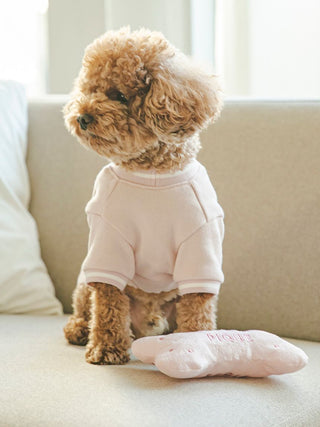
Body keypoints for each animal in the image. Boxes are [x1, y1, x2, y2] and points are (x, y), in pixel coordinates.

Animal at [62, 26, 224, 364]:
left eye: (120, 96)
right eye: (90, 89)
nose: (82, 117)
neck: (152, 173)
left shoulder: (200, 241)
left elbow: (198, 307)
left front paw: (196, 347)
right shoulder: (107, 238)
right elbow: (107, 301)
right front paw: (106, 348)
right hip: (84, 281)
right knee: (87, 305)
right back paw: (80, 329)